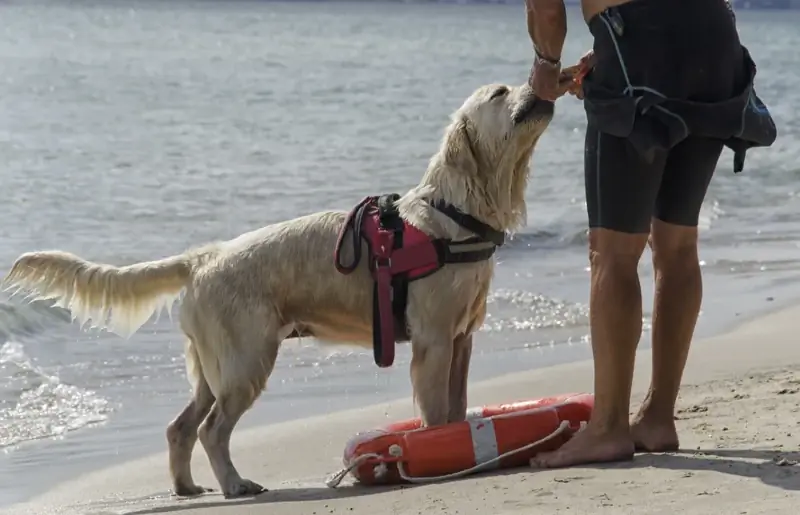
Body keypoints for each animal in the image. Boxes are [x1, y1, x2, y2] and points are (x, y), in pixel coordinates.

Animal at [4, 82, 556, 498]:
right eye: (501, 92)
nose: (542, 82)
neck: (455, 211)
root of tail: (203, 257)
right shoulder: (434, 341)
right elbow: (439, 416)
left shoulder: (462, 339)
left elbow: (458, 411)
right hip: (247, 360)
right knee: (209, 430)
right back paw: (235, 485)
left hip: (215, 367)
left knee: (181, 426)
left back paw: (187, 488)